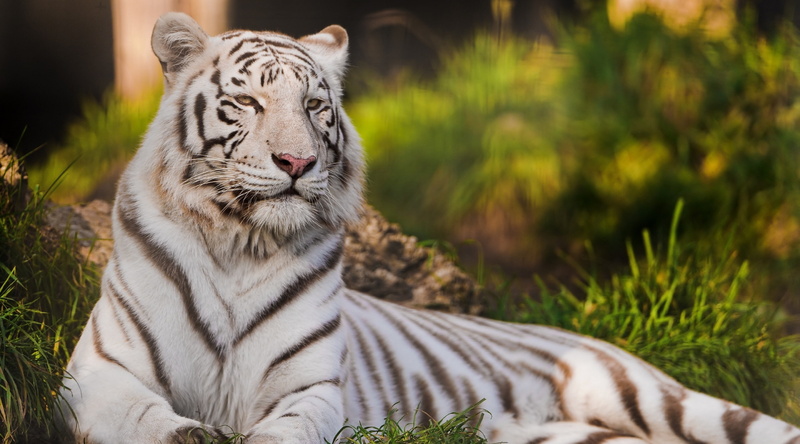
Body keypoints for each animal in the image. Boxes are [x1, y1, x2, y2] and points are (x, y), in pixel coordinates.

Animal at [57, 12, 800, 444]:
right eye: (248, 102)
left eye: (316, 106)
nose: (297, 163)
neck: (239, 242)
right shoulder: (100, 374)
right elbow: (145, 418)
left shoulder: (311, 389)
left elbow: (285, 430)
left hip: (655, 397)